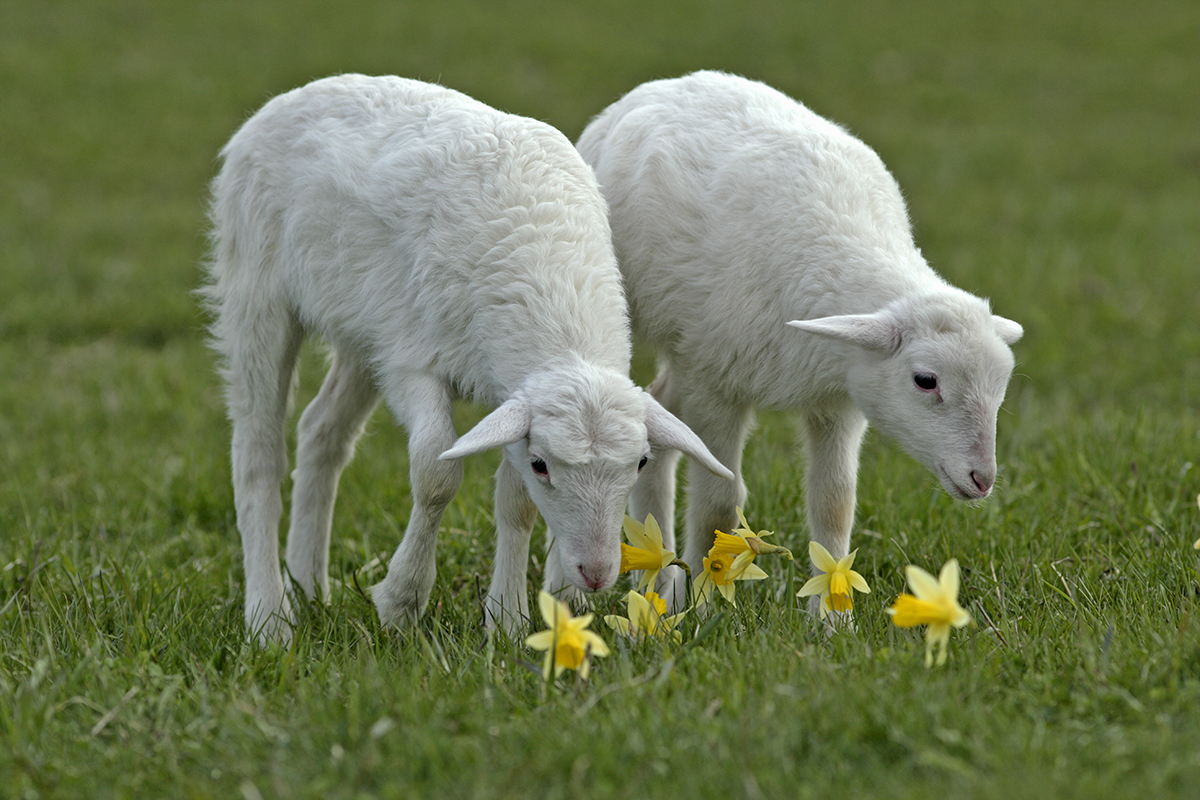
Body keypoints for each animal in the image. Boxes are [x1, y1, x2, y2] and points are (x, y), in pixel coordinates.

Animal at [199, 74, 729, 642]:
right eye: (543, 465)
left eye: (642, 462)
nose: (596, 573)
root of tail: (291, 97)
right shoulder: (413, 361)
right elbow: (435, 470)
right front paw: (401, 600)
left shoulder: (504, 390)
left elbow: (515, 504)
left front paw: (508, 619)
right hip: (257, 291)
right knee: (257, 453)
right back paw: (268, 617)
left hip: (366, 331)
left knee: (321, 430)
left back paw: (308, 585)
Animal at [571, 73, 1022, 614]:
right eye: (925, 380)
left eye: (1000, 388)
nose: (983, 479)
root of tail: (667, 83)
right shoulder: (720, 386)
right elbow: (719, 506)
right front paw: (706, 607)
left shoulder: (840, 399)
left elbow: (834, 503)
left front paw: (831, 617)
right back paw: (655, 583)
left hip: (689, 351)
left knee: (658, 412)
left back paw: (658, 581)